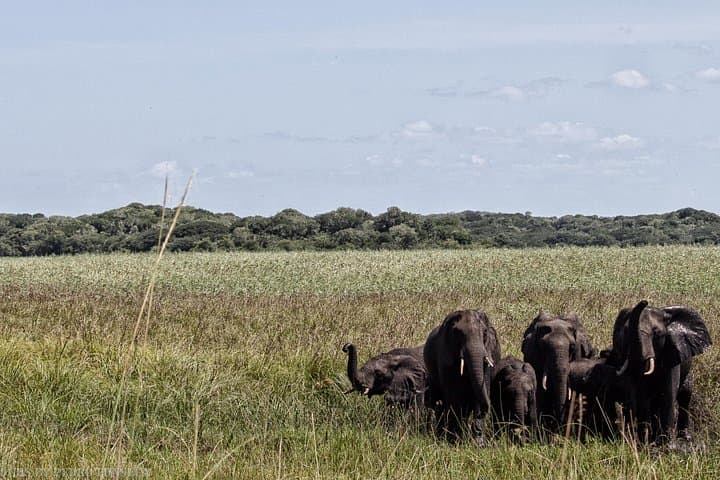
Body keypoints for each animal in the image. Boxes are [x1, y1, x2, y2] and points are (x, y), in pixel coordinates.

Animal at [424, 309, 501, 444]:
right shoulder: (445, 357)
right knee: (441, 404)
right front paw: (456, 441)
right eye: (457, 333)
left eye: (485, 333)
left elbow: (482, 387)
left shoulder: (489, 352)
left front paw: (479, 443)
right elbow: (454, 396)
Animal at [613, 300, 712, 443]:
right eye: (625, 332)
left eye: (656, 333)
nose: (645, 301)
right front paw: (645, 442)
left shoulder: (672, 351)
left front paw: (667, 444)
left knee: (685, 395)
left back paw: (684, 437)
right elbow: (642, 394)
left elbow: (669, 392)